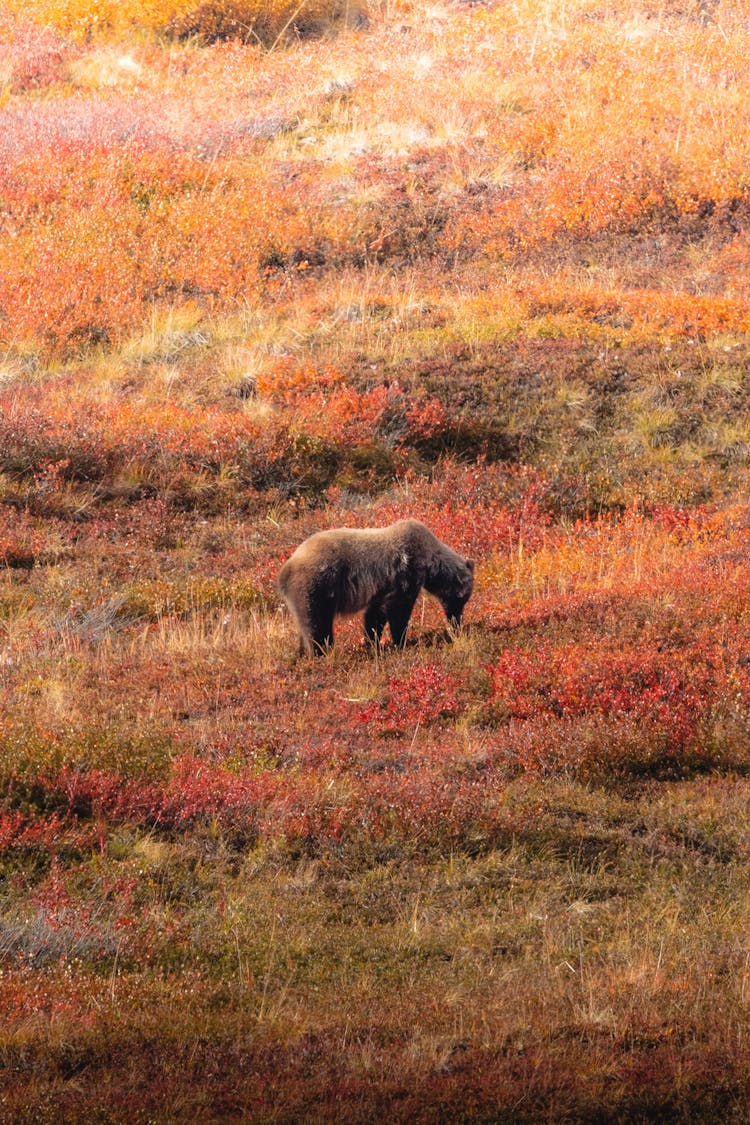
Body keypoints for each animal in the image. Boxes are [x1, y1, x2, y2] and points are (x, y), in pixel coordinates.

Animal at [275, 522, 474, 657]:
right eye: (462, 599)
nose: (457, 622)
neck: (429, 561)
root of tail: (285, 570)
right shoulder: (405, 572)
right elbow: (398, 610)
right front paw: (402, 642)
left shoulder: (383, 586)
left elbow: (375, 614)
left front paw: (372, 641)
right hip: (315, 587)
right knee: (317, 624)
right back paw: (321, 652)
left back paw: (302, 653)